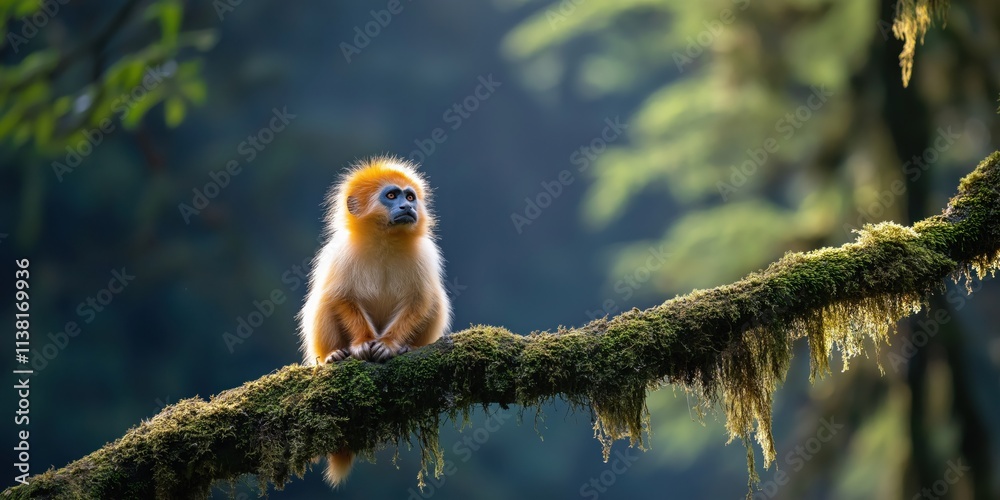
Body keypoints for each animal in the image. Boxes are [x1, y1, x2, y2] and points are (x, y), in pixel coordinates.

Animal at [297, 155, 451, 487]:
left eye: (410, 197)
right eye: (391, 196)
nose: (407, 207)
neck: (386, 240)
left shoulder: (425, 255)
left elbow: (421, 301)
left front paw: (390, 346)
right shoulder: (340, 254)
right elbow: (341, 297)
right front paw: (363, 345)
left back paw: (407, 348)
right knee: (324, 299)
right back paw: (334, 355)